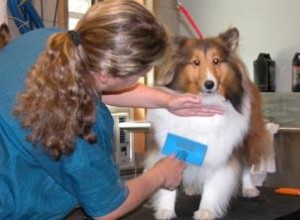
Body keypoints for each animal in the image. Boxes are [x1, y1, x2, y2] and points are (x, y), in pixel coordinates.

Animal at [144, 27, 274, 220]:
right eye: (196, 62)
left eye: (216, 61)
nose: (209, 84)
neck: (205, 102)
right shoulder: (169, 144)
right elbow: (168, 182)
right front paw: (165, 210)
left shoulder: (221, 148)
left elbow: (213, 184)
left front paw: (206, 210)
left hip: (247, 137)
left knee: (245, 166)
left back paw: (249, 188)